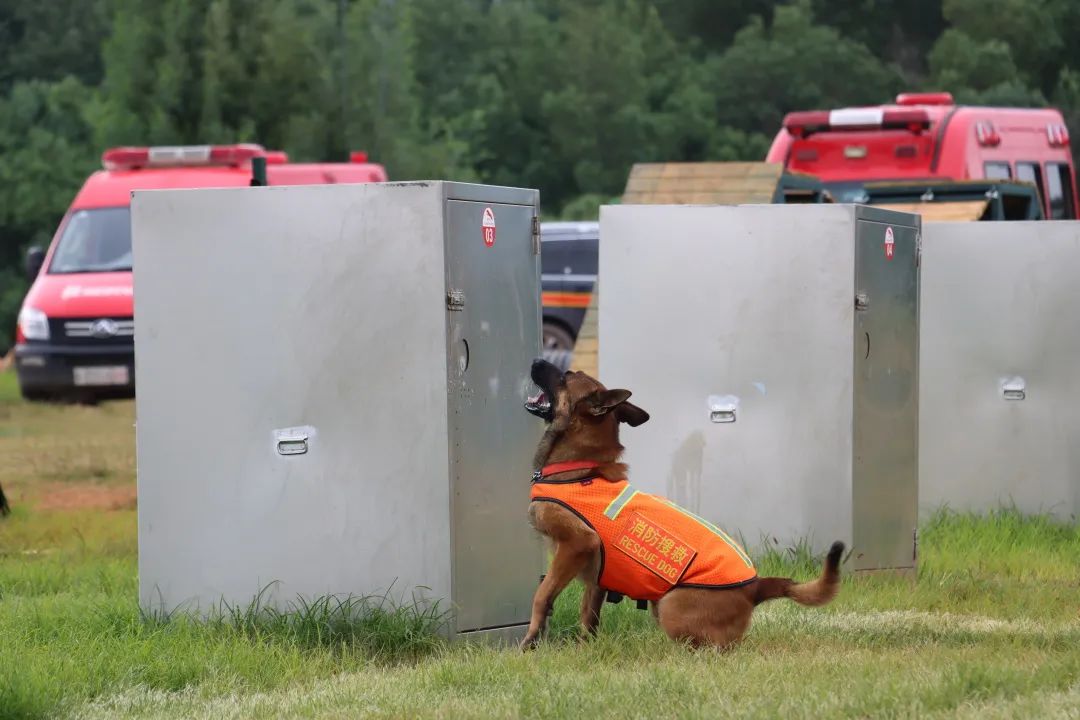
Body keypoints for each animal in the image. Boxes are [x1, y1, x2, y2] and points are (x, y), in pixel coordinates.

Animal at [520, 358, 842, 651]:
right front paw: (585, 649)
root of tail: (755, 587)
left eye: (566, 376)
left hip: (671, 605)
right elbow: (589, 614)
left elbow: (541, 595)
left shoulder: (576, 544)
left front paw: (530, 641)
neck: (579, 468)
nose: (535, 360)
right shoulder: (596, 577)